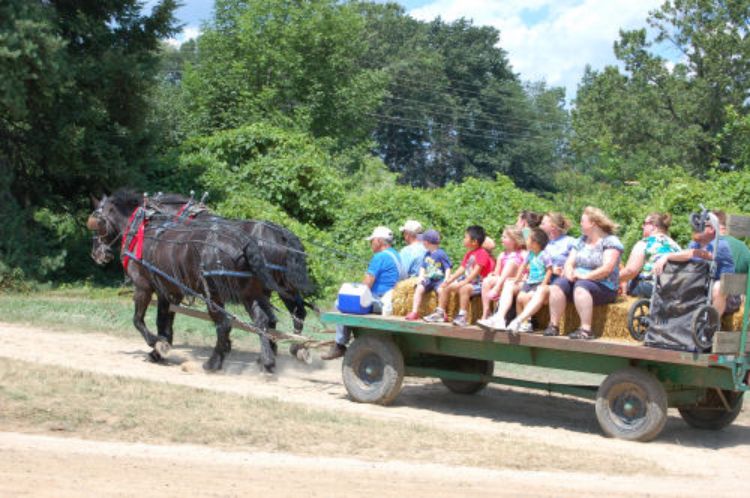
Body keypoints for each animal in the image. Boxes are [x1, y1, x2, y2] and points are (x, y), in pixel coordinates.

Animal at [86, 191, 290, 370]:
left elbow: (138, 320)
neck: (142, 229)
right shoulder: (168, 290)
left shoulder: (143, 287)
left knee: (225, 324)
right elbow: (164, 323)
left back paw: (213, 363)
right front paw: (160, 349)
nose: (96, 254)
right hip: (249, 293)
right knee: (262, 321)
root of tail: (245, 243)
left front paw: (156, 344)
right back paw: (267, 361)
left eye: (97, 224)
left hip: (214, 295)